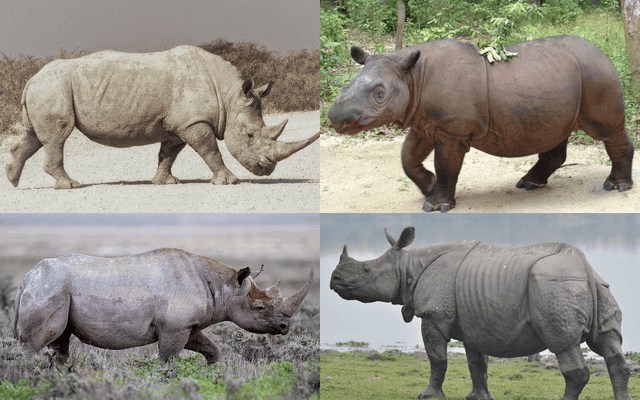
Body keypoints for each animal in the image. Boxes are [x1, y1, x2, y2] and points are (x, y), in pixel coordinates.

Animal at [6, 45, 319, 189]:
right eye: (251, 136)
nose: (266, 169)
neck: (228, 97)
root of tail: (30, 79)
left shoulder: (178, 124)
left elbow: (169, 153)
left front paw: (165, 182)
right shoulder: (193, 122)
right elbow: (210, 150)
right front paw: (229, 181)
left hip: (47, 89)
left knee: (35, 136)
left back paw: (12, 179)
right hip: (52, 88)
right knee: (57, 137)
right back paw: (70, 186)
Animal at [13, 249, 314, 364]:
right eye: (260, 309)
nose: (285, 327)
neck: (224, 286)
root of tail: (26, 278)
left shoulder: (187, 325)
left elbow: (212, 349)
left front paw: (214, 372)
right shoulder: (174, 327)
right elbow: (168, 360)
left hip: (52, 288)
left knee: (60, 343)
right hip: (49, 287)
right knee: (36, 343)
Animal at [328, 35, 634, 212]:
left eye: (380, 94)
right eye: (346, 86)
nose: (335, 118)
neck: (411, 74)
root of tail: (602, 52)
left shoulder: (451, 130)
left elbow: (446, 165)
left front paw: (436, 205)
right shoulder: (425, 123)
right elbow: (408, 157)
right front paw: (428, 186)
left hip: (596, 74)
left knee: (607, 130)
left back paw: (616, 187)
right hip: (569, 78)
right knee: (555, 132)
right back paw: (529, 184)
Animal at [330, 227, 631, 400]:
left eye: (366, 270)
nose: (334, 279)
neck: (408, 267)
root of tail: (584, 268)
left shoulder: (434, 316)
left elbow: (437, 359)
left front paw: (428, 395)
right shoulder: (474, 320)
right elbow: (477, 364)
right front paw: (477, 397)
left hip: (552, 286)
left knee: (563, 344)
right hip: (596, 287)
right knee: (608, 343)